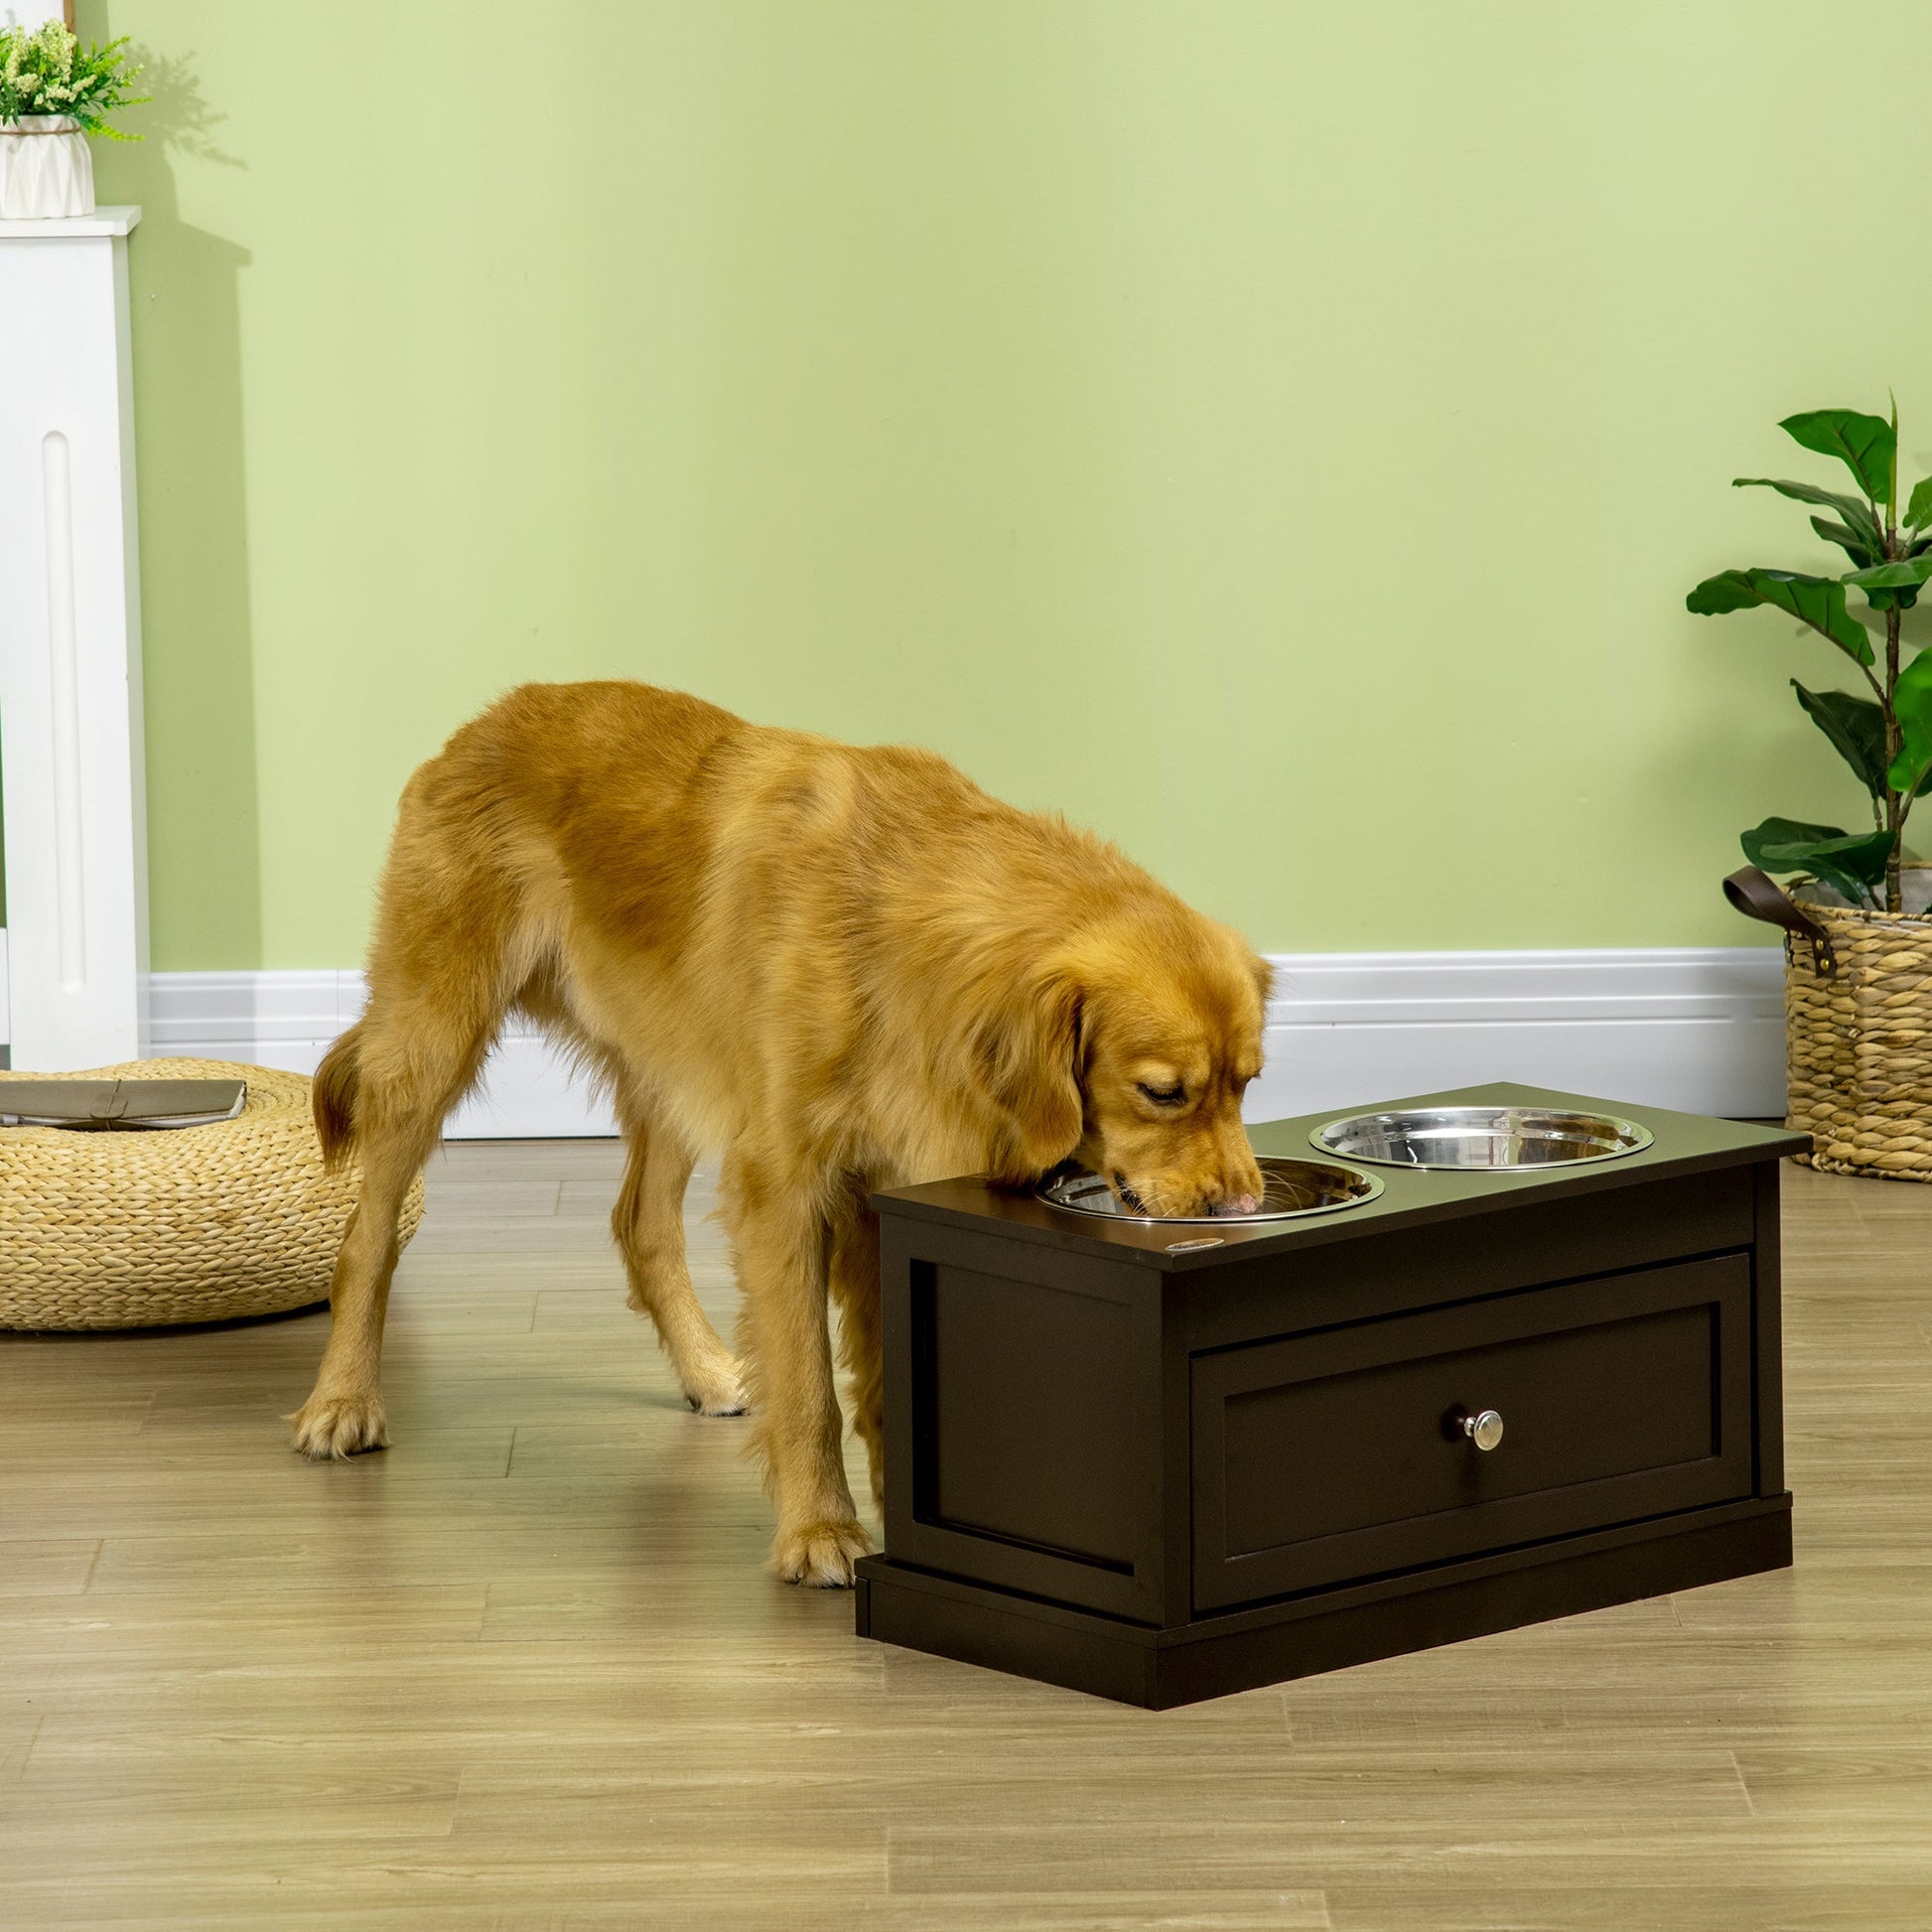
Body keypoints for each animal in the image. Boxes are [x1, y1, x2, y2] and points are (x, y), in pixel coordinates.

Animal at [293, 679, 1275, 1584]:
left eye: (1248, 1083)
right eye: (1162, 1093)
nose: (1239, 1211)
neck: (896, 921)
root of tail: (489, 716)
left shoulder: (888, 1187)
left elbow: (884, 1377)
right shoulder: (787, 1183)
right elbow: (809, 1386)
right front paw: (820, 1530)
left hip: (678, 1069)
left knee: (639, 1223)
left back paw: (707, 1371)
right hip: (432, 1037)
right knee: (367, 1236)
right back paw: (341, 1401)